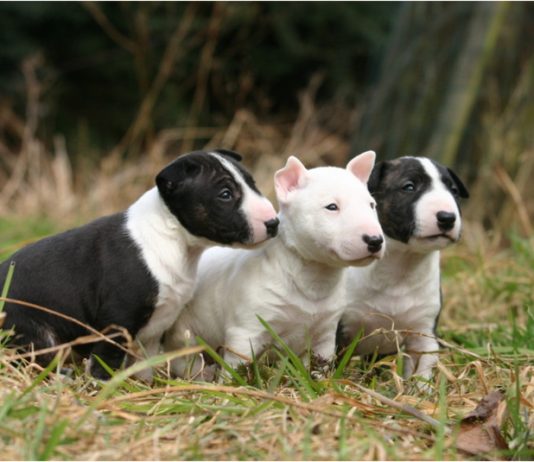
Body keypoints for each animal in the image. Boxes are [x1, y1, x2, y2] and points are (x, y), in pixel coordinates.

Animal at [2, 148, 280, 378]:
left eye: (253, 184)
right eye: (225, 194)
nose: (273, 223)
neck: (172, 236)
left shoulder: (155, 329)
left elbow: (145, 366)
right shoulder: (117, 320)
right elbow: (106, 361)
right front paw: (102, 389)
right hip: (32, 332)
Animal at [165, 150, 388, 378]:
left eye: (371, 205)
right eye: (332, 207)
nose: (375, 241)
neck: (312, 278)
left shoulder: (325, 336)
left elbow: (320, 368)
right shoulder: (244, 332)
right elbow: (236, 367)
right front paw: (232, 384)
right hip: (184, 336)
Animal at [340, 157, 468, 388]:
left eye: (453, 191)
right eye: (408, 187)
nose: (447, 217)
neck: (402, 265)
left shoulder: (423, 332)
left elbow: (423, 368)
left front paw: (420, 391)